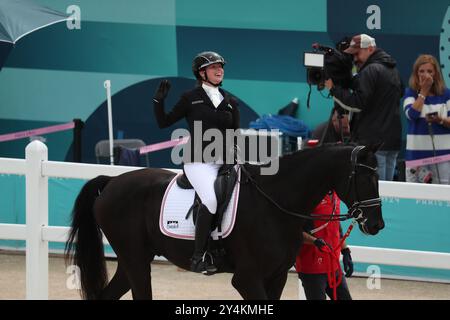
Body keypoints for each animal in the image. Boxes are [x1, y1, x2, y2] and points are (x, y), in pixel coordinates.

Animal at [66, 144, 384, 298]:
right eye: (365, 178)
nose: (376, 225)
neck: (275, 201)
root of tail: (111, 182)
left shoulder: (277, 276)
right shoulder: (247, 278)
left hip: (132, 261)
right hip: (136, 262)